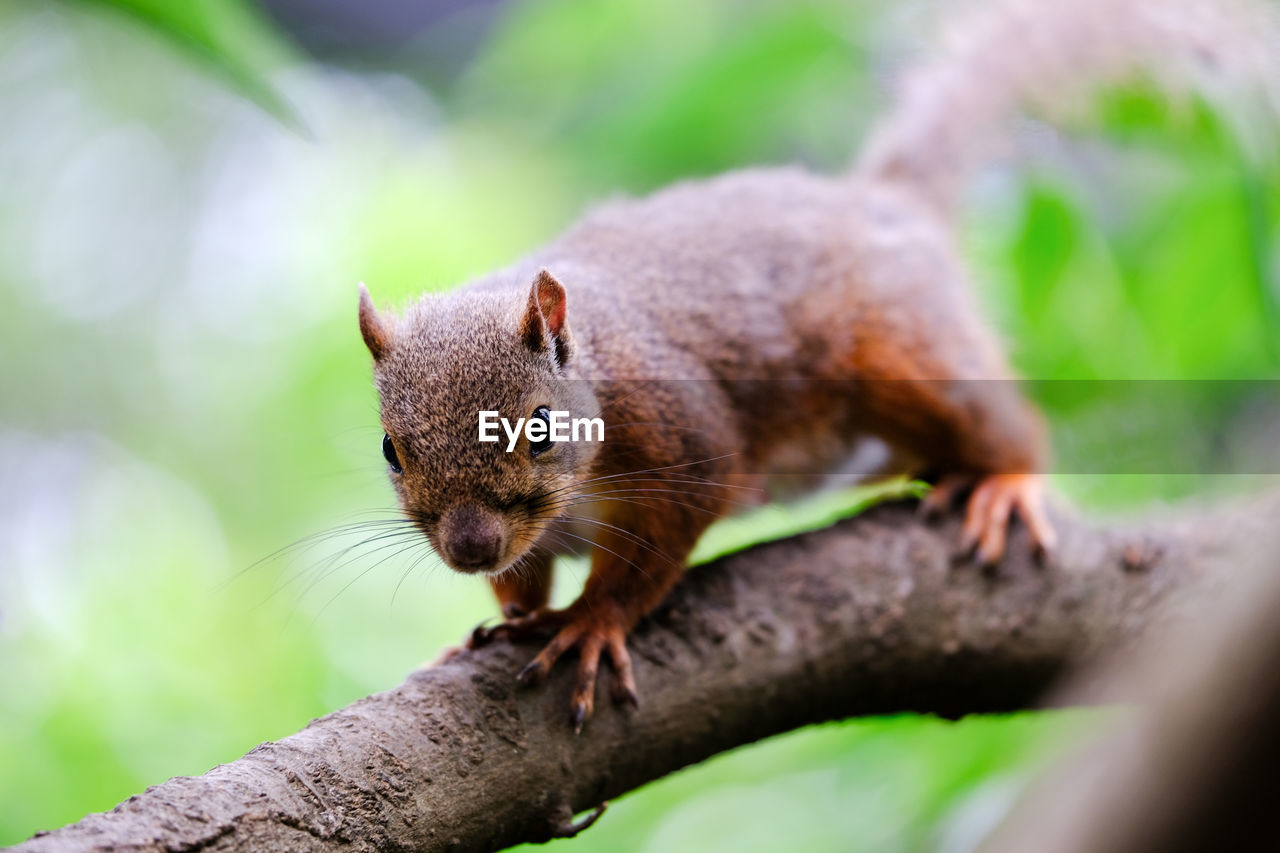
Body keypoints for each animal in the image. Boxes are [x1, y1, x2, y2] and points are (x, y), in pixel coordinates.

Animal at [353, 0, 1280, 732]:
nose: (468, 547)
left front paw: (589, 623)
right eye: (391, 449)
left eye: (541, 428)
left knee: (1004, 425)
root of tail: (885, 203)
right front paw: (498, 620)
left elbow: (659, 545)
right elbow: (525, 575)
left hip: (901, 357)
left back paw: (1004, 482)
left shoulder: (681, 431)